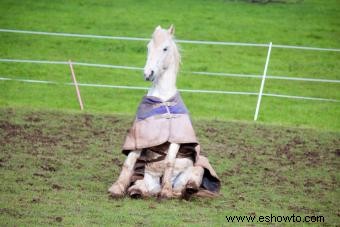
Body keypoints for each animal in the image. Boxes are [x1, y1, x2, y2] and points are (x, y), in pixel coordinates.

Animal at [109, 24, 220, 199]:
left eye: (165, 48)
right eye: (148, 47)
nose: (148, 73)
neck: (163, 99)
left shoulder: (177, 137)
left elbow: (169, 161)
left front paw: (166, 191)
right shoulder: (140, 137)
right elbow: (129, 161)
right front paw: (117, 187)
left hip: (195, 170)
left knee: (187, 183)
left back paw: (188, 188)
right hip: (148, 181)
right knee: (142, 188)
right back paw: (136, 190)